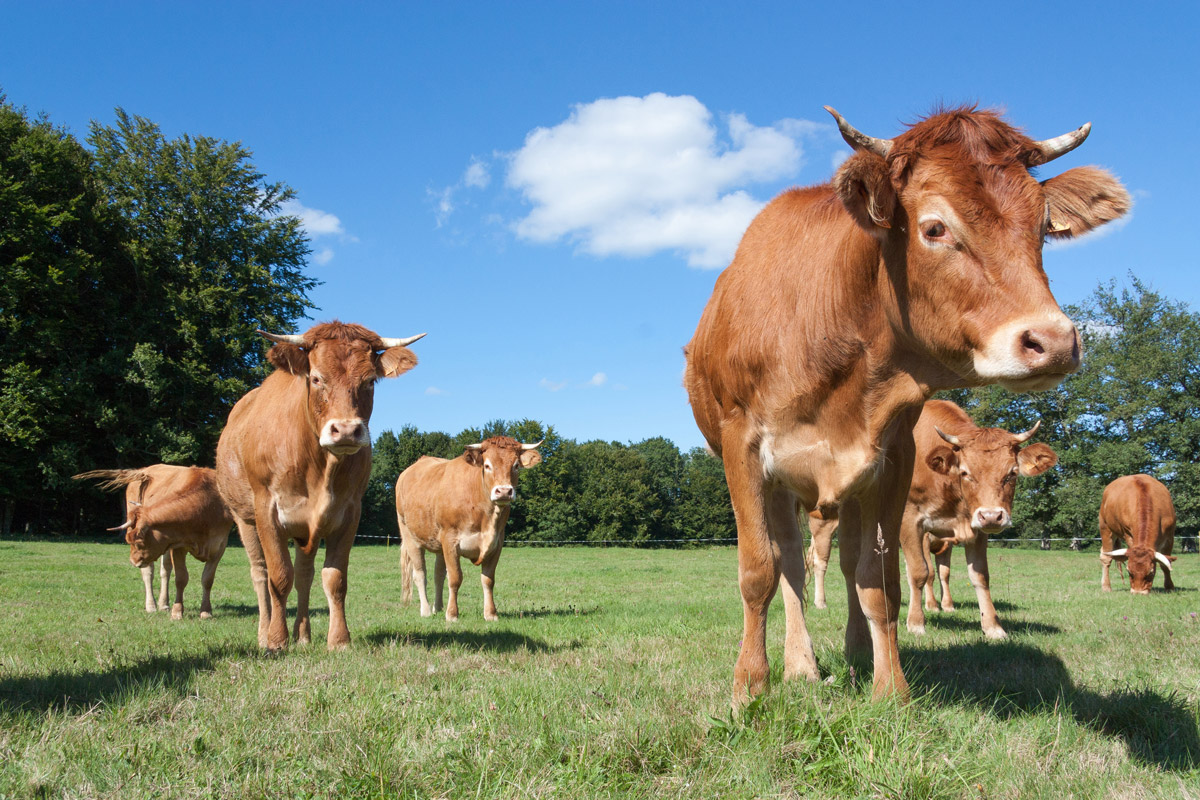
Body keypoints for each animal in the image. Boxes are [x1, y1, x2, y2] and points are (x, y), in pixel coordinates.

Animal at [74, 466, 233, 619]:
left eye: (138, 542)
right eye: (128, 540)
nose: (132, 561)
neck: (204, 507)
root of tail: (143, 470)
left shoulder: (219, 547)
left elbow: (207, 579)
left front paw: (206, 611)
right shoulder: (179, 547)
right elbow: (181, 579)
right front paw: (177, 611)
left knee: (165, 571)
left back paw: (164, 604)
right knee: (148, 572)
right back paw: (151, 606)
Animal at [216, 321, 422, 651]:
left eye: (370, 381)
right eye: (315, 378)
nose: (347, 430)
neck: (319, 467)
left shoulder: (349, 513)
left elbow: (334, 579)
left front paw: (338, 640)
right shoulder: (267, 510)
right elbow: (279, 576)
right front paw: (276, 640)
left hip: (305, 529)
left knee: (304, 573)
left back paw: (303, 635)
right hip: (243, 518)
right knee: (260, 573)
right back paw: (264, 633)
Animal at [396, 436, 543, 621]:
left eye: (516, 465)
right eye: (487, 465)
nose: (503, 491)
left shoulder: (497, 542)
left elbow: (488, 580)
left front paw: (490, 614)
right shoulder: (450, 540)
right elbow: (455, 578)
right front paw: (452, 614)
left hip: (438, 543)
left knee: (438, 575)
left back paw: (438, 607)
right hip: (410, 536)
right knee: (420, 574)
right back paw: (427, 610)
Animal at [684, 105, 1129, 702]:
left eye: (1041, 226)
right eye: (934, 227)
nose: (1054, 341)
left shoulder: (890, 460)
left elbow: (881, 581)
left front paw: (889, 686)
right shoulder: (743, 447)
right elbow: (759, 571)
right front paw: (749, 688)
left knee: (848, 563)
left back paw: (853, 653)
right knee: (794, 567)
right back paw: (801, 665)